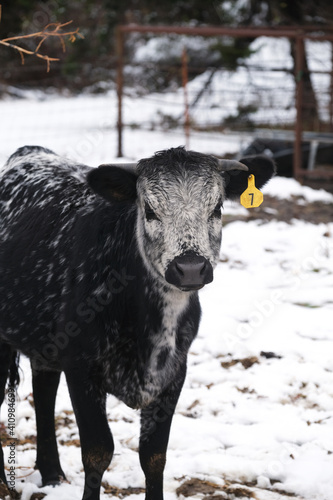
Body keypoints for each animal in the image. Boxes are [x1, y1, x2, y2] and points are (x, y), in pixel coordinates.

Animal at [0, 146, 274, 500]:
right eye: (150, 210)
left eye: (217, 208)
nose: (190, 268)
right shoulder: (81, 366)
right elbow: (98, 451)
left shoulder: (174, 372)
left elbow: (154, 454)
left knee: (44, 393)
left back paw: (52, 474)